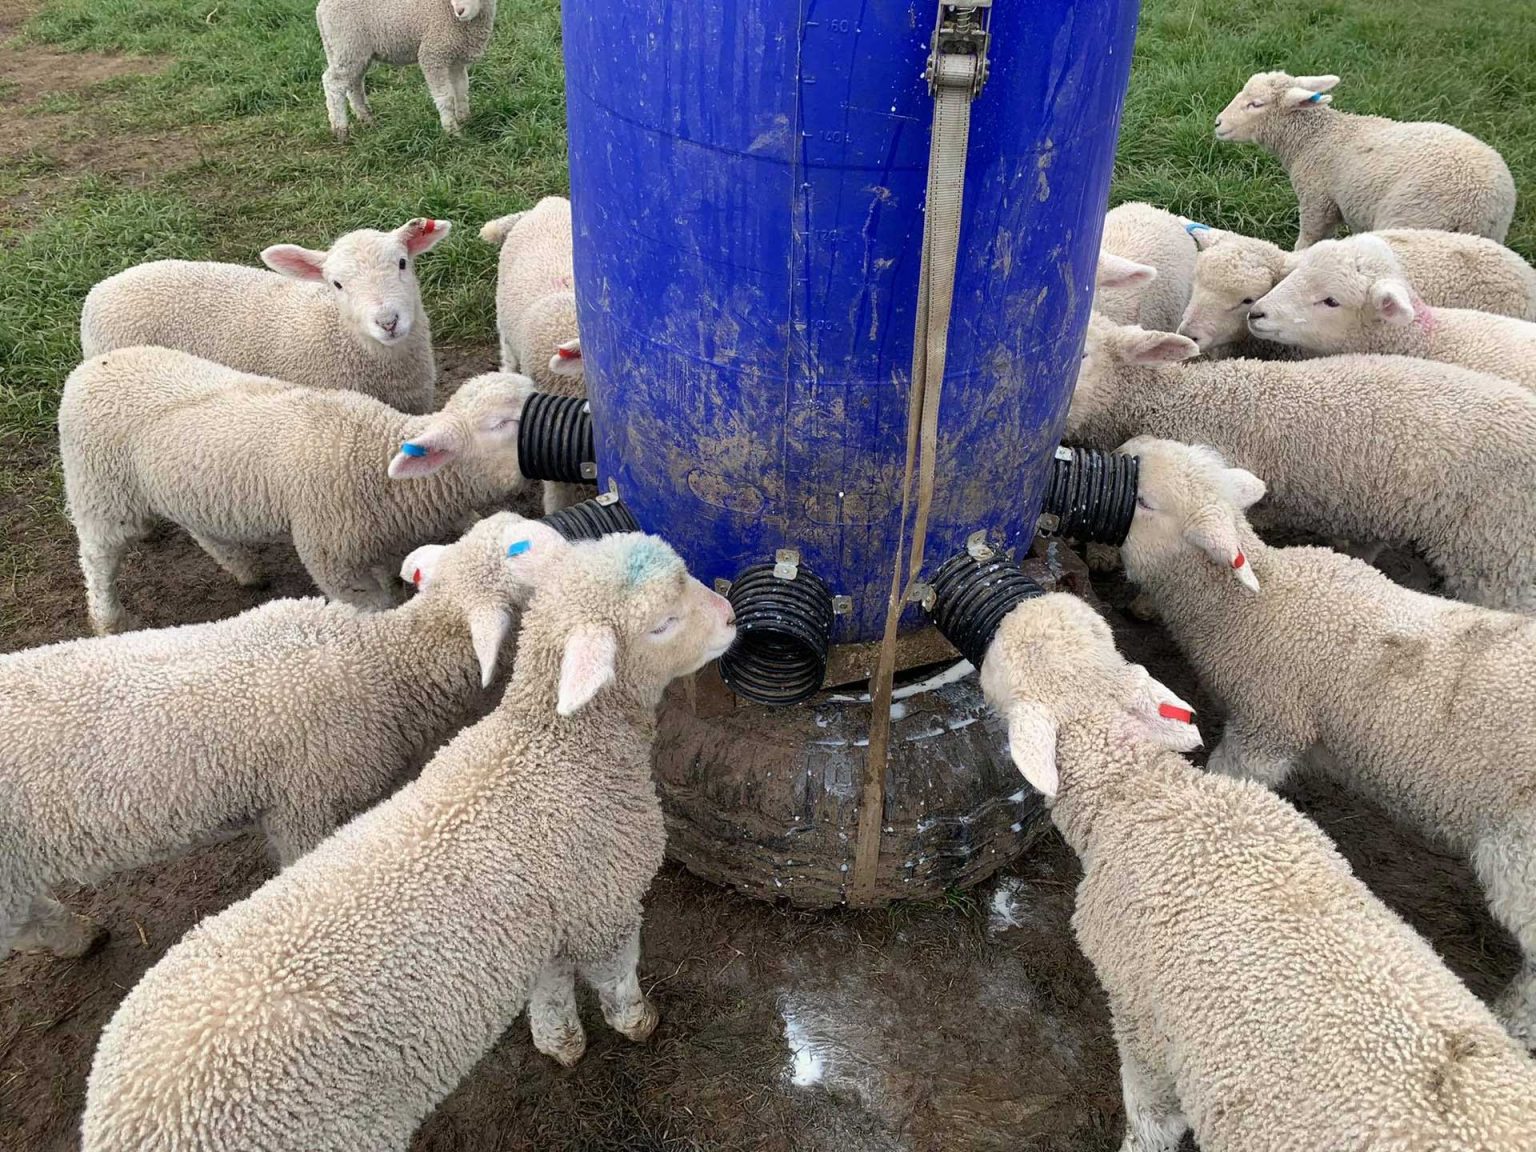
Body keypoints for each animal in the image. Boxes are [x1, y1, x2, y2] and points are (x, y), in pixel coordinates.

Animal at [59, 345, 535, 634]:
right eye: (500, 424)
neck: (375, 462)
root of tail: (85, 370)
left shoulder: (373, 542)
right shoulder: (332, 558)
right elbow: (374, 607)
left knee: (201, 529)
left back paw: (245, 569)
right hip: (102, 492)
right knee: (98, 557)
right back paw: (108, 619)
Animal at [81, 532, 738, 1152]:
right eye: (662, 623)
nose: (732, 616)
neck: (549, 750)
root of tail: (124, 1122)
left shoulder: (547, 919)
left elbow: (549, 988)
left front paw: (561, 1043)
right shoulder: (607, 905)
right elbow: (615, 978)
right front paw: (639, 1023)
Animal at [316, 0, 496, 138]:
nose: (460, 11)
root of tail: (320, 8)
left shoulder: (455, 59)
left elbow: (461, 90)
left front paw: (465, 119)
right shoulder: (433, 54)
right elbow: (445, 97)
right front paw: (452, 131)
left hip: (346, 50)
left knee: (354, 83)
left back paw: (367, 119)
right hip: (348, 44)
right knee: (333, 83)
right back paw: (341, 130)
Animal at [1114, 436, 1536, 1047]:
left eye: (1144, 502)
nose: (1123, 448)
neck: (1262, 605)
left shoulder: (1269, 724)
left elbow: (1235, 781)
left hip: (1522, 857)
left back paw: (1512, 1022)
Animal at [1214, 71, 1516, 247]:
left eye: (1256, 104)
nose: (1217, 123)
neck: (1313, 139)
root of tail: (1479, 208)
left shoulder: (1318, 201)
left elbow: (1309, 240)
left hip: (1413, 218)